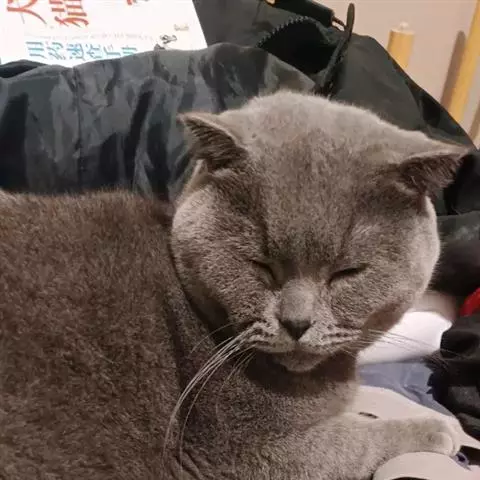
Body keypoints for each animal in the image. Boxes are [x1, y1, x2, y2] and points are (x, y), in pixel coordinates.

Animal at [0, 91, 467, 480]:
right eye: (261, 266)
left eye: (346, 273)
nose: (297, 323)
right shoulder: (243, 452)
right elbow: (356, 442)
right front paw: (436, 429)